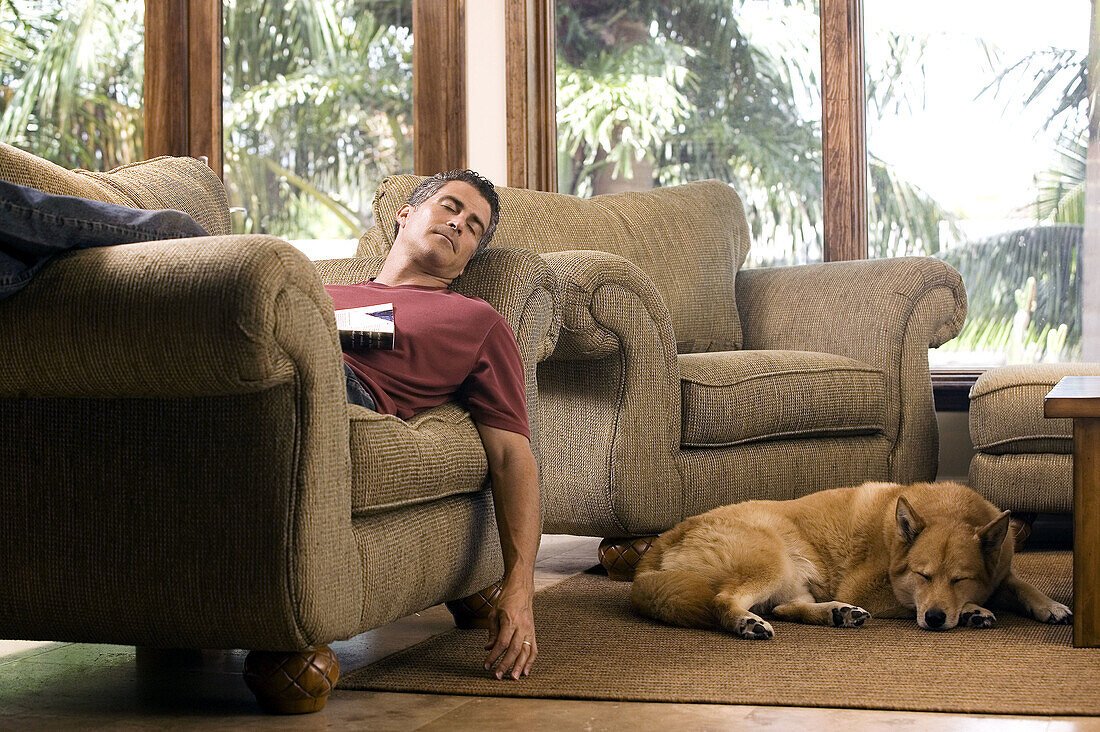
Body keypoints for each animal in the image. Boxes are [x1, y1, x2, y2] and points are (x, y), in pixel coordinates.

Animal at [633, 479, 1069, 634]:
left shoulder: (1000, 569)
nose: (934, 619)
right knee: (725, 600)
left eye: (960, 578)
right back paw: (745, 622)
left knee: (786, 608)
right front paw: (974, 610)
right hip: (771, 557)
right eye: (922, 575)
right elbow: (909, 603)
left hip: (791, 579)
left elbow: (1018, 583)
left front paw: (1049, 606)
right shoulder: (875, 590)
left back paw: (837, 614)